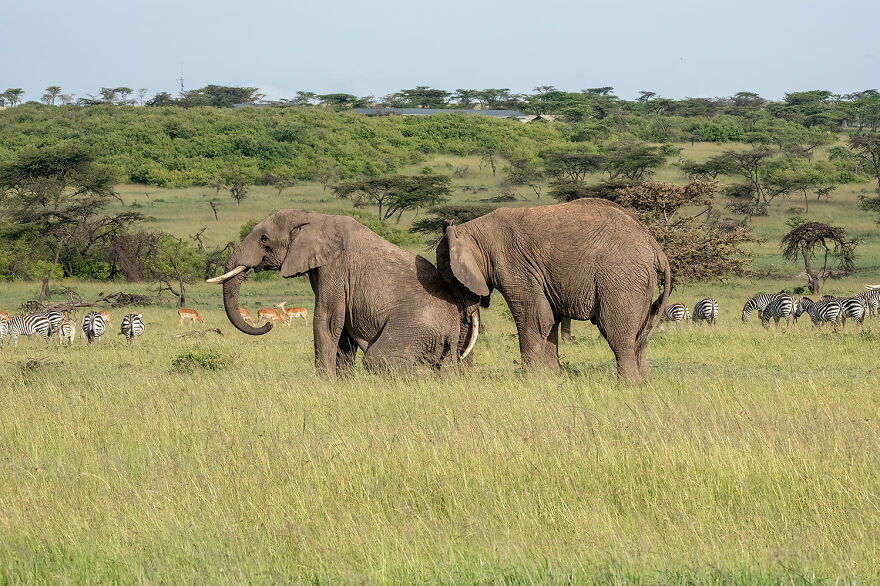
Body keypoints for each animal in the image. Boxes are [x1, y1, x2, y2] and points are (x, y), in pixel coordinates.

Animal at [208, 209, 479, 375]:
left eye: (264, 239)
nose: (268, 325)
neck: (314, 217)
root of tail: (453, 329)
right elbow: (343, 330)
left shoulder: (335, 268)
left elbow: (326, 321)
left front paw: (324, 384)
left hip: (415, 327)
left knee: (378, 359)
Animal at [435, 198, 671, 383]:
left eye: (450, 279)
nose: (462, 375)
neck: (471, 230)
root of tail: (655, 247)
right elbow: (549, 319)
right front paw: (551, 378)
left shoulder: (514, 266)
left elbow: (535, 317)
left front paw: (529, 380)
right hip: (640, 282)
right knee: (639, 336)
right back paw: (643, 383)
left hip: (620, 278)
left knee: (615, 332)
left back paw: (627, 385)